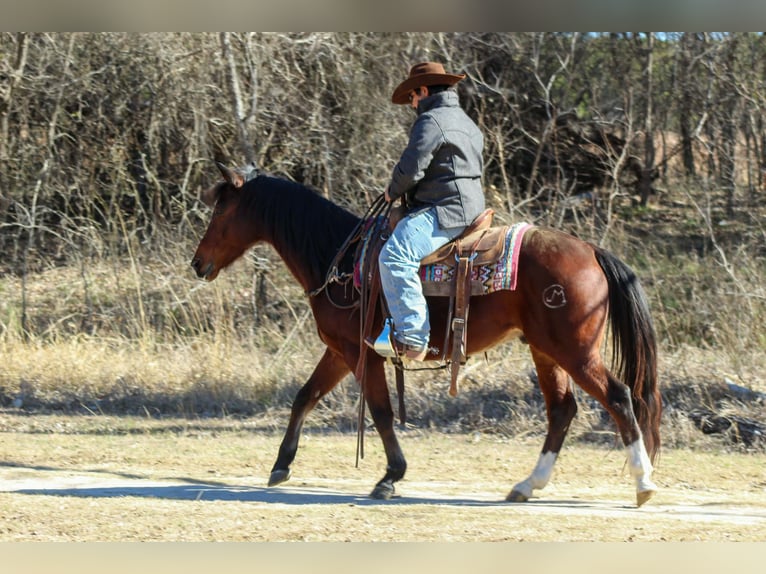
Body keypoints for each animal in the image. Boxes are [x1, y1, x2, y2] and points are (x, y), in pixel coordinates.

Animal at [191, 162, 662, 507]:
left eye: (221, 211)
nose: (197, 263)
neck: (337, 260)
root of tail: (591, 252)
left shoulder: (362, 354)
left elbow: (381, 412)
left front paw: (390, 476)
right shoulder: (341, 352)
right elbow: (305, 396)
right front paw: (281, 465)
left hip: (575, 352)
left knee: (618, 397)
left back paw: (642, 483)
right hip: (547, 352)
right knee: (562, 410)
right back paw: (527, 485)